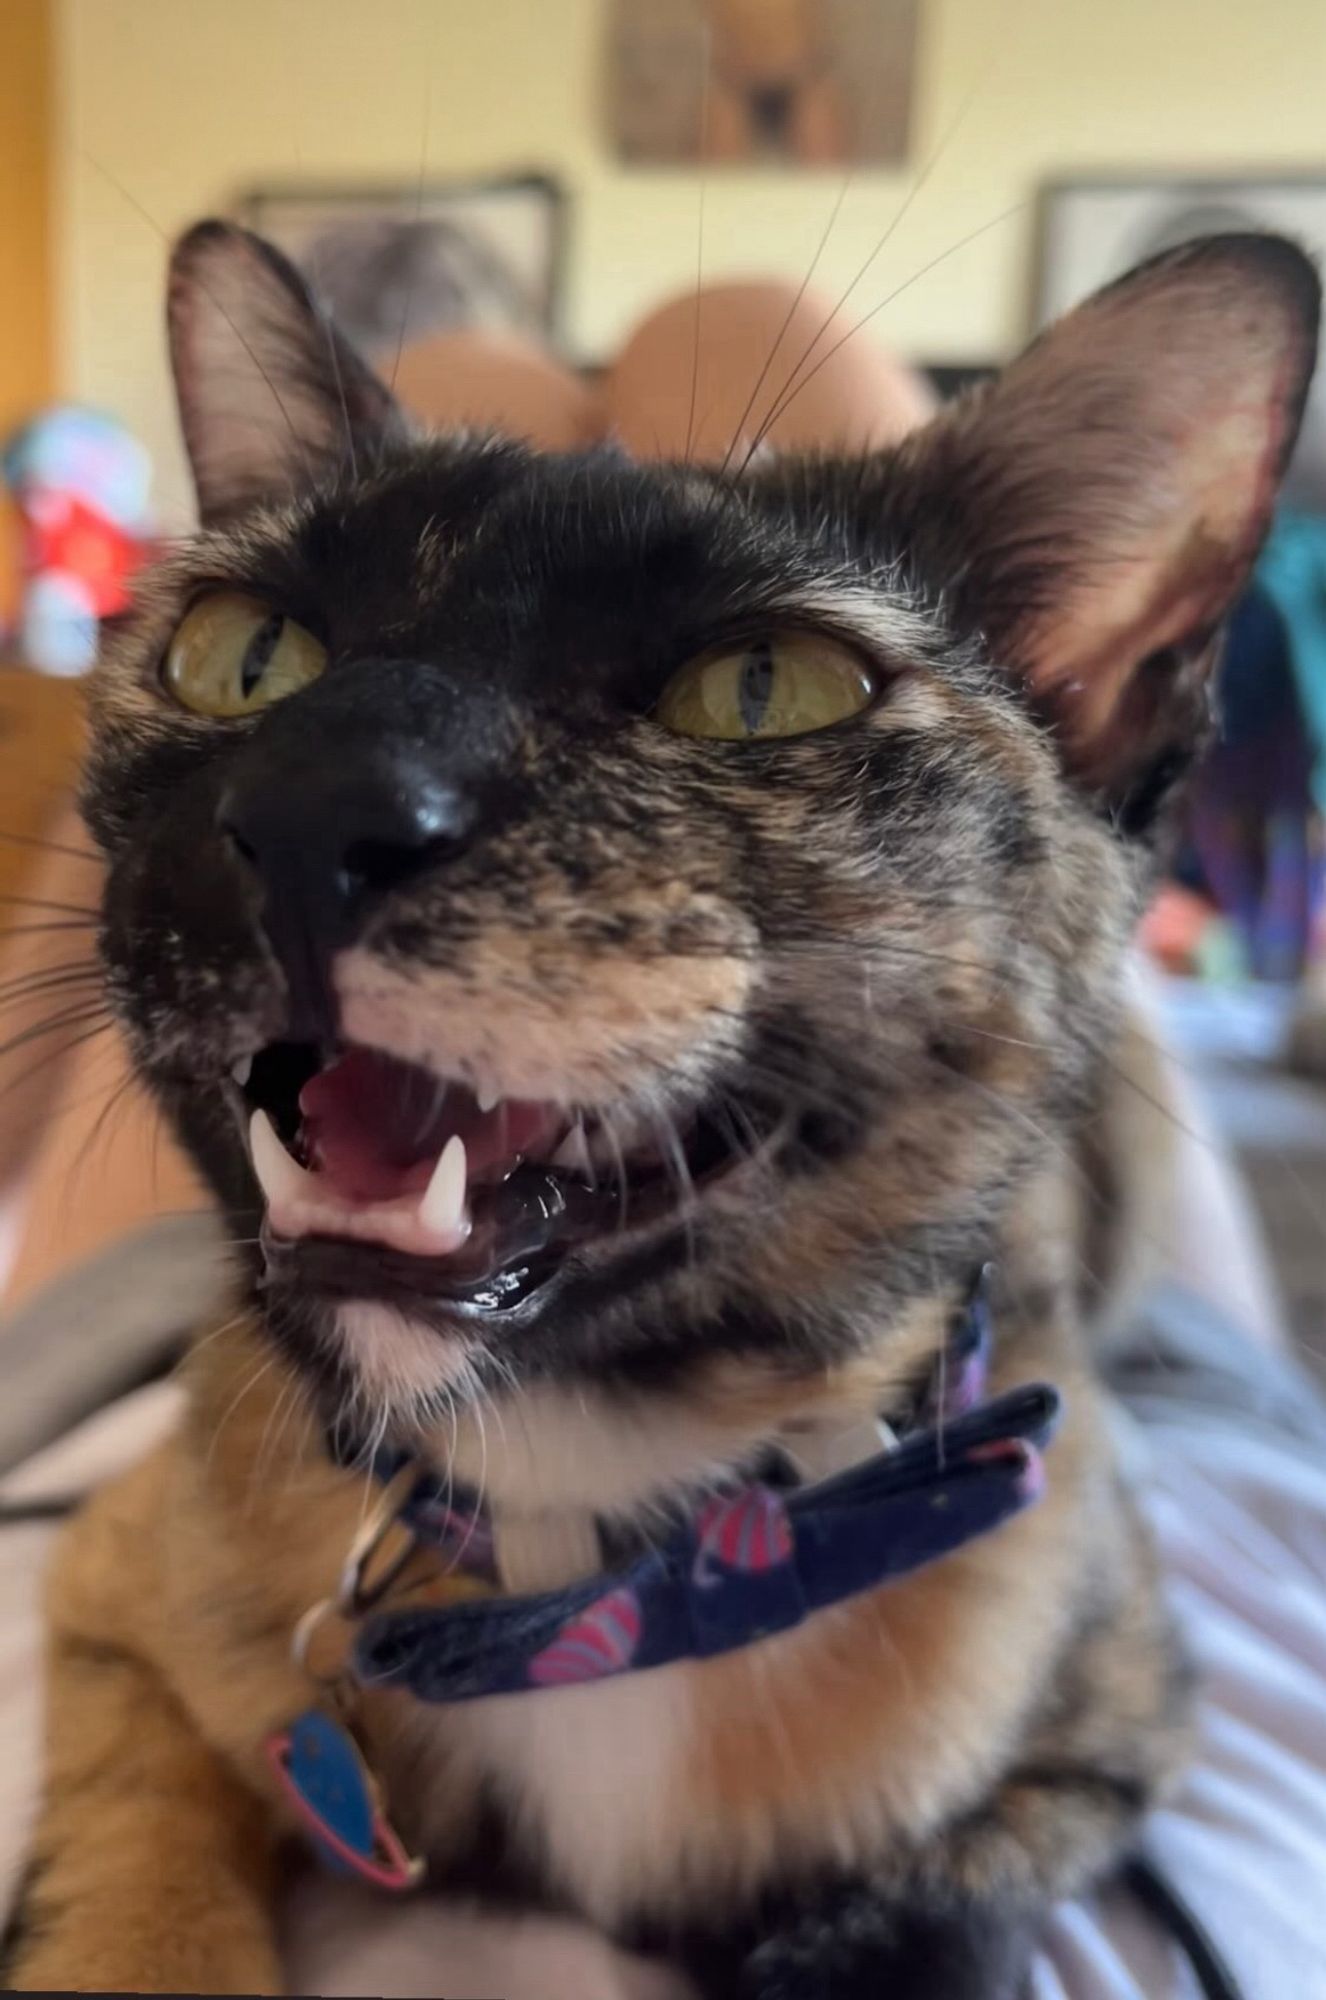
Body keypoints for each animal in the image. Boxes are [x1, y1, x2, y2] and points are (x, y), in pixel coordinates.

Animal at [5, 223, 1320, 2000]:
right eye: (245, 653)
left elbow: (947, 1910)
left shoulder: (1112, 1738)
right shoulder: (108, 1610)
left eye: (762, 688)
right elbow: (132, 1886)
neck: (591, 1538)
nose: (310, 801)